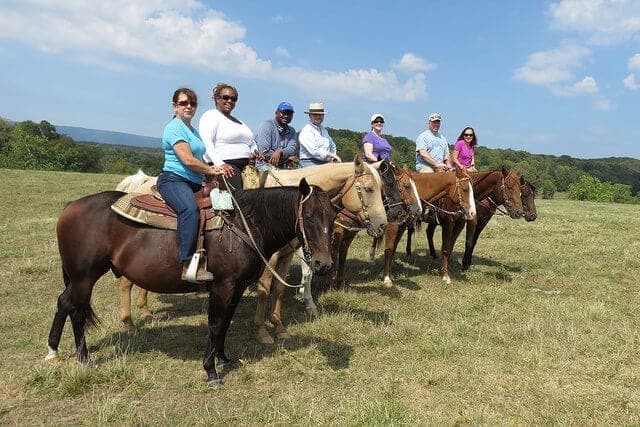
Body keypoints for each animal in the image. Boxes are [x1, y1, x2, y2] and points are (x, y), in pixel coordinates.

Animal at [45, 180, 338, 388]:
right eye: (308, 216)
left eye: (333, 217)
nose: (323, 264)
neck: (245, 224)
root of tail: (70, 207)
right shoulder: (223, 286)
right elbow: (216, 324)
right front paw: (211, 371)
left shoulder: (237, 287)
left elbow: (225, 323)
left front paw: (223, 358)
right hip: (84, 276)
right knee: (69, 306)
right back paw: (69, 355)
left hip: (83, 277)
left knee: (70, 307)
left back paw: (67, 355)